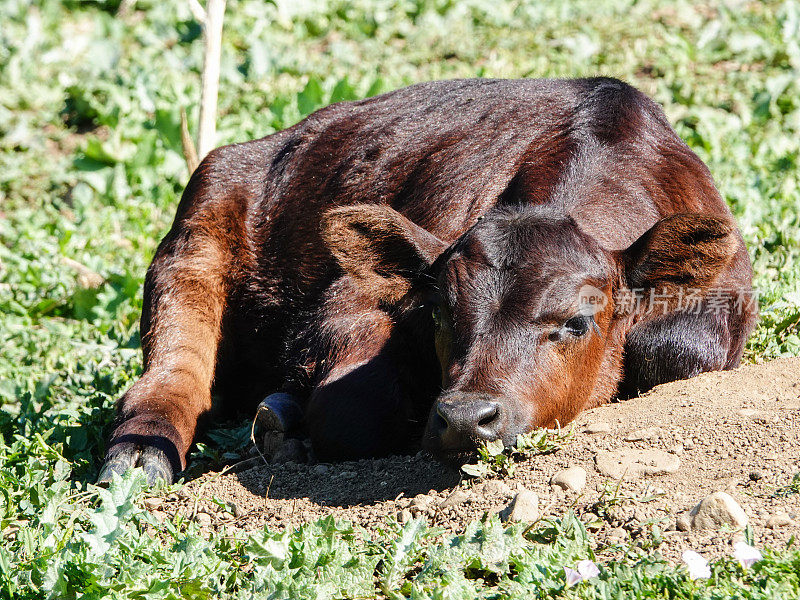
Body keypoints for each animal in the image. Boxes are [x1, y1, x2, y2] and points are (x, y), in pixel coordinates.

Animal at [98, 78, 756, 482]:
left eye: (578, 320)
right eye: (441, 311)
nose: (466, 417)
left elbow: (675, 349)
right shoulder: (349, 302)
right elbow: (357, 405)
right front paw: (287, 426)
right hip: (197, 231)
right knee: (173, 374)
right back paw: (142, 454)